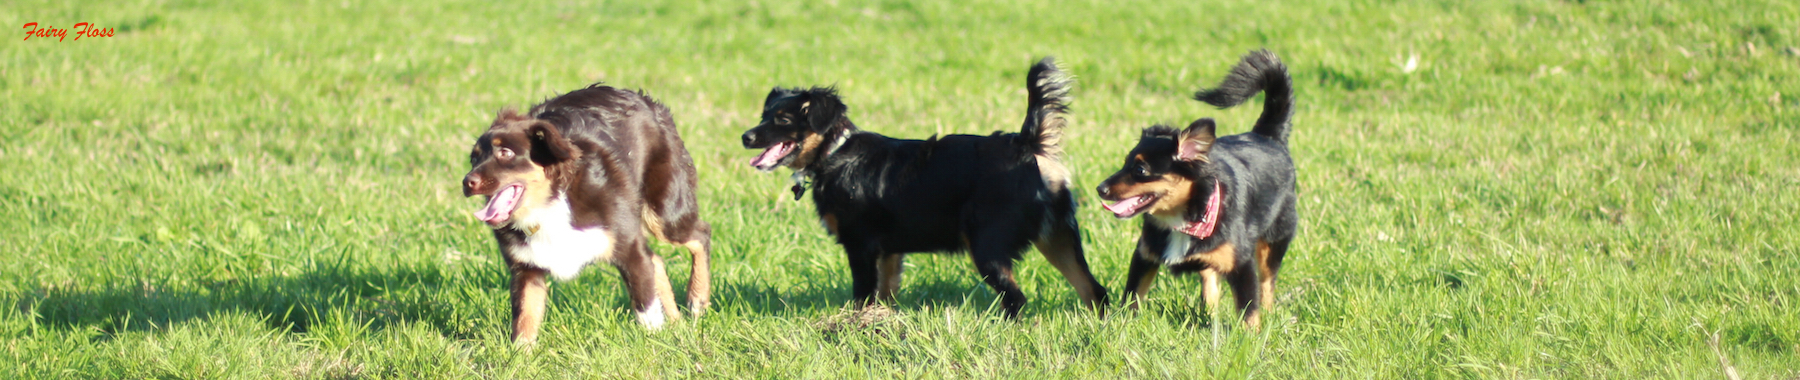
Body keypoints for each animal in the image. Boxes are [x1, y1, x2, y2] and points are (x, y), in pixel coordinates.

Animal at [460, 84, 712, 342]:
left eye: (506, 153)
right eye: (474, 158)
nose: (467, 182)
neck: (550, 203)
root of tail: (642, 98)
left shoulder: (628, 248)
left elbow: (646, 308)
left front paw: (653, 342)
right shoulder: (526, 268)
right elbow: (525, 321)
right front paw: (519, 353)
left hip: (665, 212)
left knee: (700, 235)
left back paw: (697, 299)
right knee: (658, 260)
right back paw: (676, 321)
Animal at [738, 57, 1101, 316]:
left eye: (783, 120)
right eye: (763, 115)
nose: (745, 137)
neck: (835, 152)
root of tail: (1028, 144)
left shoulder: (860, 245)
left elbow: (862, 295)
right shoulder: (888, 251)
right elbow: (884, 294)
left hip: (988, 245)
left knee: (1016, 299)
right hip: (1059, 238)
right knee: (1095, 291)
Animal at [1094, 49, 1296, 329]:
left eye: (1140, 170)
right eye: (1124, 163)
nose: (1100, 188)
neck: (1181, 218)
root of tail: (1268, 135)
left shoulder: (1242, 264)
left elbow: (1249, 308)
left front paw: (1252, 336)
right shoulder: (1144, 255)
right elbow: (1133, 296)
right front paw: (1123, 325)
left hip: (1274, 239)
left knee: (1267, 283)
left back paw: (1268, 315)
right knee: (1210, 278)